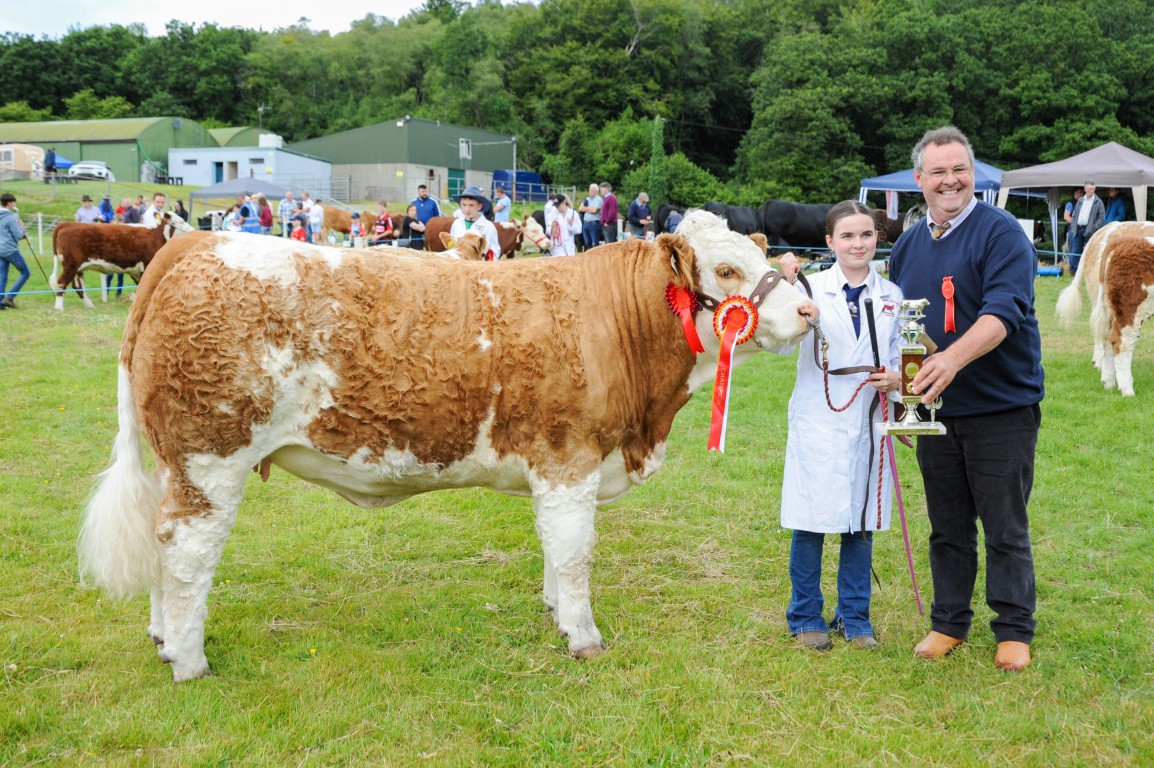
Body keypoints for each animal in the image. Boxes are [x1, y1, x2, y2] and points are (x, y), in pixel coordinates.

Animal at [50, 214, 193, 311]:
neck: (157, 235)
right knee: (61, 282)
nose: (192, 230)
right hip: (70, 265)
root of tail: (66, 224)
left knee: (77, 286)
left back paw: (89, 305)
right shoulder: (148, 266)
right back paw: (59, 307)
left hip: (77, 268)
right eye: (181, 221)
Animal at [78, 210, 818, 681]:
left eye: (767, 260)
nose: (810, 311)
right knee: (186, 555)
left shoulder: (556, 471)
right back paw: (188, 660)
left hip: (179, 466)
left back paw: (162, 636)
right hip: (211, 458)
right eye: (728, 269)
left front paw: (556, 614)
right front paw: (583, 638)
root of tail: (193, 245)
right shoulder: (570, 458)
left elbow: (555, 552)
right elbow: (576, 556)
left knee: (161, 542)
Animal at [1087, 235, 1154, 396]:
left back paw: (1108, 383)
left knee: (1108, 339)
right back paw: (1127, 390)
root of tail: (1120, 241)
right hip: (1130, 308)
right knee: (1121, 342)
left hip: (1112, 309)